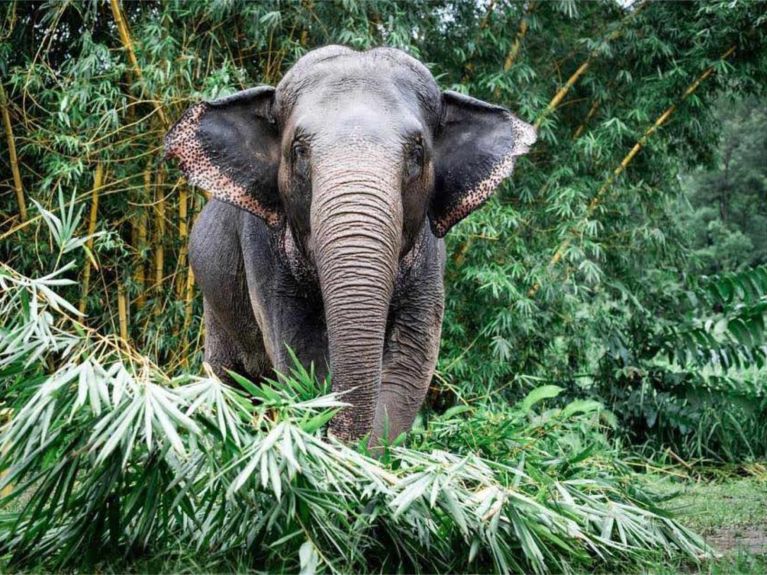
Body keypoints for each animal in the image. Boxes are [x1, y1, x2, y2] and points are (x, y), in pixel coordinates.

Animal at [164, 46, 536, 440]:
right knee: (228, 381)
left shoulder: (429, 260)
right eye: (298, 150)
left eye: (417, 153)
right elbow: (299, 351)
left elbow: (410, 362)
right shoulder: (261, 247)